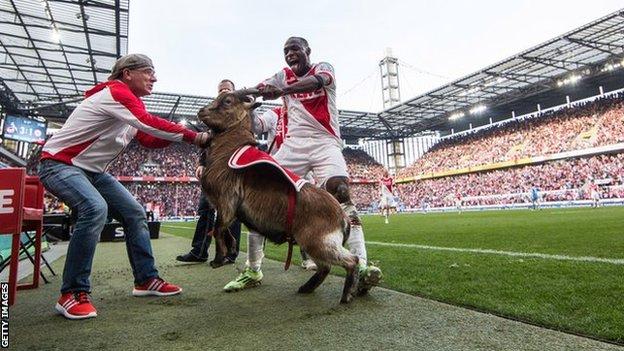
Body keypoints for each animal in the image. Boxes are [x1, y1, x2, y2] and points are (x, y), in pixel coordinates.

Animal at [195, 91, 360, 306]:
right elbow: (223, 229)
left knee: (351, 260)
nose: (201, 111)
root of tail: (343, 218)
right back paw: (306, 288)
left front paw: (217, 260)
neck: (229, 151)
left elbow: (217, 229)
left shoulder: (226, 200)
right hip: (315, 243)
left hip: (319, 243)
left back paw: (347, 294)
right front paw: (229, 250)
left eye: (228, 101)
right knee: (326, 267)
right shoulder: (228, 209)